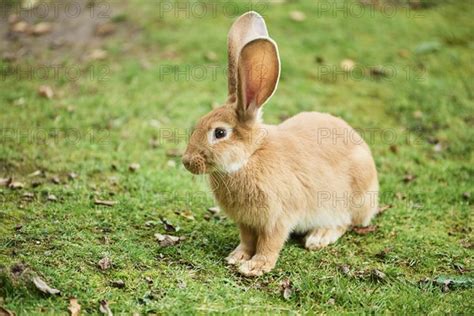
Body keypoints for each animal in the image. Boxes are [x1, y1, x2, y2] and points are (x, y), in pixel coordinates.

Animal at [181, 11, 378, 276]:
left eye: (220, 133)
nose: (187, 161)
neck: (250, 157)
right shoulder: (246, 222)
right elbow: (247, 240)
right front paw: (236, 257)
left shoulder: (278, 218)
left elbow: (269, 243)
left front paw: (254, 267)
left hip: (349, 199)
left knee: (345, 222)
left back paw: (318, 237)